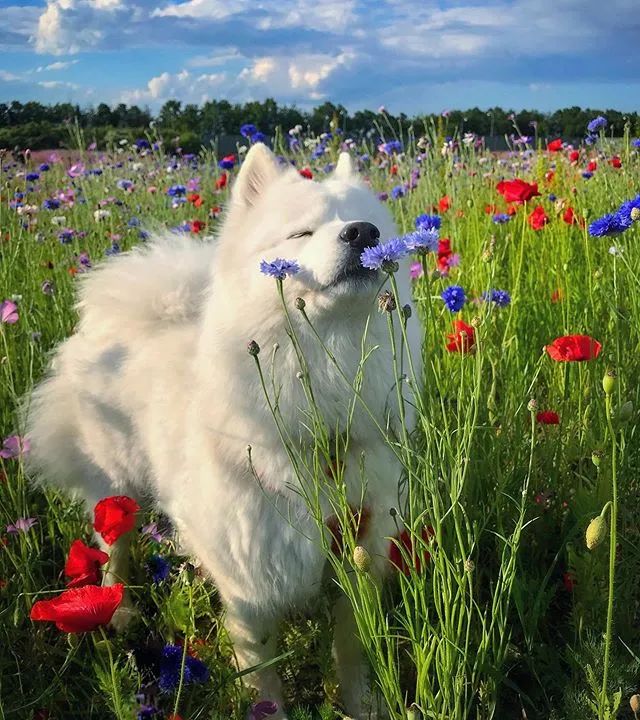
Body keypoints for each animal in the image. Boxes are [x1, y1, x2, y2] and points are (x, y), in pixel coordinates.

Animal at [27, 143, 420, 716]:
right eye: (301, 233)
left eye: (370, 224)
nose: (362, 233)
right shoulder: (250, 582)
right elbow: (261, 677)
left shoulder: (360, 555)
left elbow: (351, 652)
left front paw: (361, 706)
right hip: (117, 487)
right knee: (113, 547)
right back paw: (116, 608)